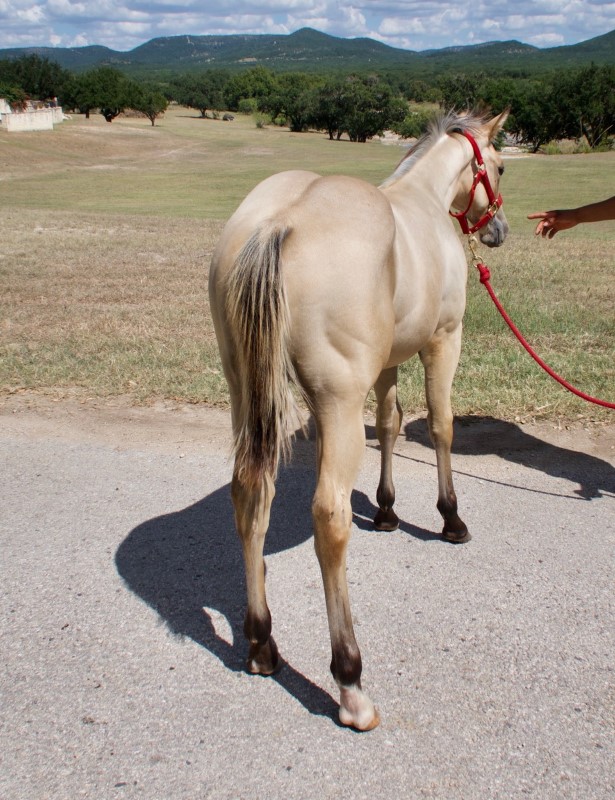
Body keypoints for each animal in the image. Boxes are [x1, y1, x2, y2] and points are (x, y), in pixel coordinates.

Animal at [208, 109, 510, 728]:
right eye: (498, 166)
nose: (499, 230)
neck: (422, 200)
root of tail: (277, 223)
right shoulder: (442, 343)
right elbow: (440, 425)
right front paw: (450, 518)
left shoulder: (389, 361)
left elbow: (391, 424)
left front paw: (389, 510)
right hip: (336, 404)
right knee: (330, 517)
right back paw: (349, 679)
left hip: (245, 395)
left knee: (249, 494)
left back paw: (261, 645)